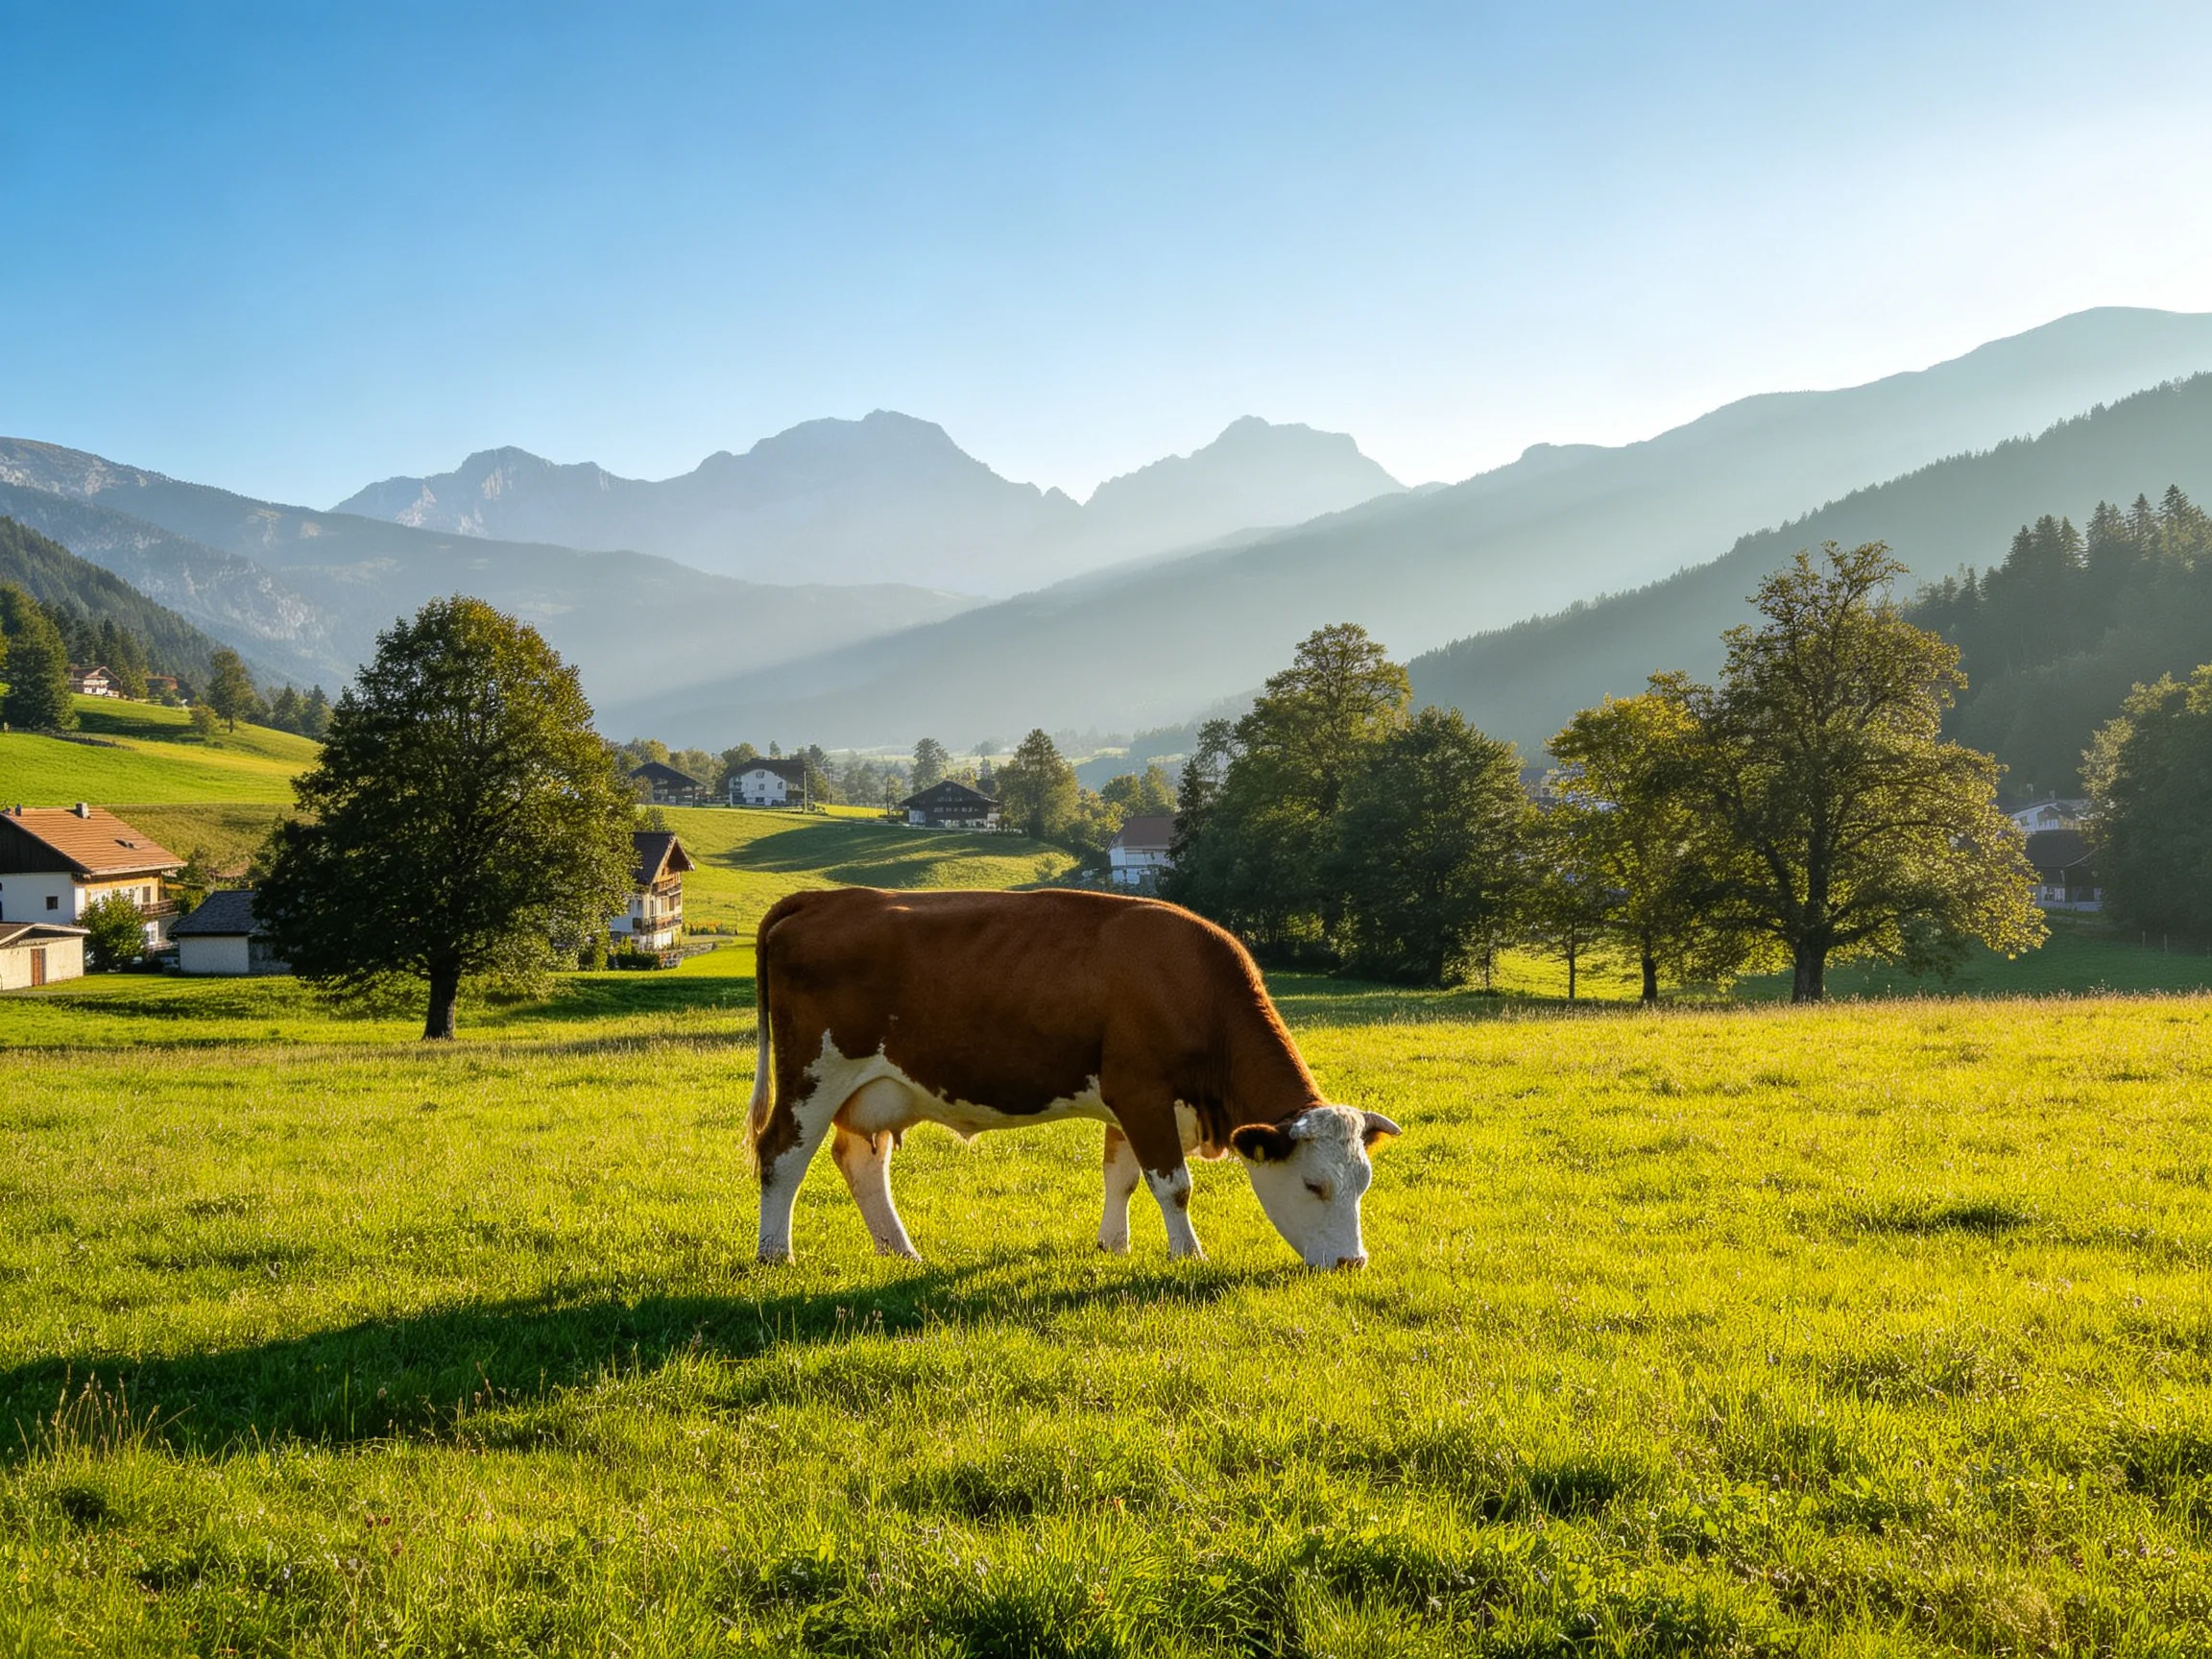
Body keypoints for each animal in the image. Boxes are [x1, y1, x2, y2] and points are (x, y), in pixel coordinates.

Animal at [745, 886, 1399, 1269]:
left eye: (1363, 1183)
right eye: (1314, 1185)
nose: (1353, 1263)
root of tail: (825, 897)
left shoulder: (1130, 1104)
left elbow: (1122, 1176)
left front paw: (1114, 1244)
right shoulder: (1142, 1093)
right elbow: (1173, 1185)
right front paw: (1188, 1255)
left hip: (871, 1092)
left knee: (860, 1161)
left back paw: (901, 1251)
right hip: (814, 1075)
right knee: (781, 1154)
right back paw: (777, 1255)